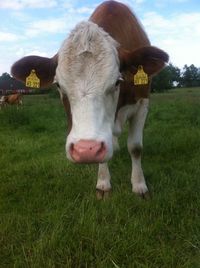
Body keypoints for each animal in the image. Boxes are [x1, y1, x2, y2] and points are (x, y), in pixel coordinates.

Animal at [10, 0, 167, 199]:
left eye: (118, 81)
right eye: (58, 85)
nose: (85, 150)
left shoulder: (142, 104)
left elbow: (136, 147)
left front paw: (139, 185)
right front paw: (103, 183)